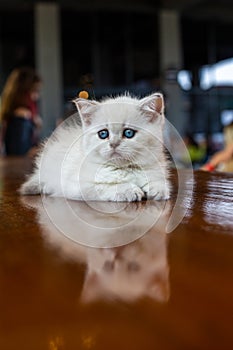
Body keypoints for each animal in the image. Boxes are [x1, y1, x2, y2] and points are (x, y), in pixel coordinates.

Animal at [20, 93, 169, 202]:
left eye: (128, 133)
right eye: (103, 134)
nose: (113, 144)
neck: (125, 169)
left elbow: (158, 181)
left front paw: (159, 189)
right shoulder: (75, 186)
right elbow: (104, 187)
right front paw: (129, 190)